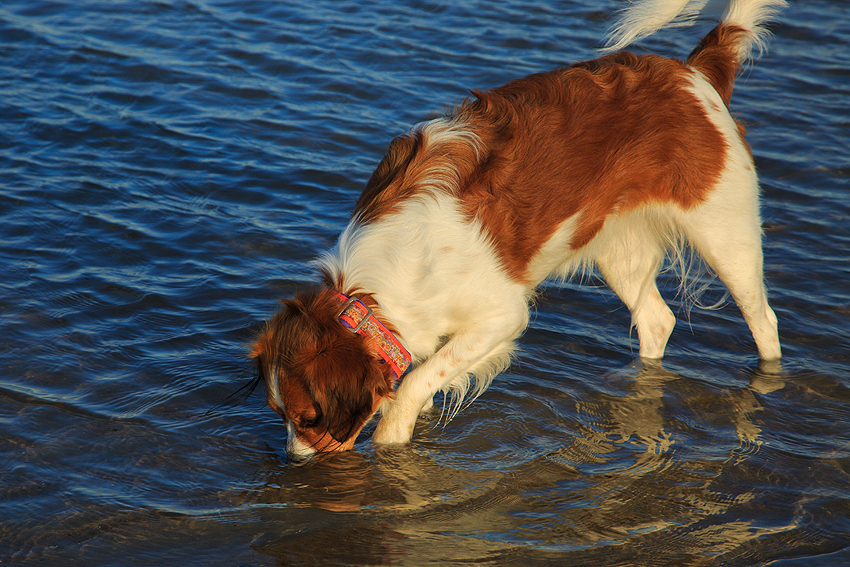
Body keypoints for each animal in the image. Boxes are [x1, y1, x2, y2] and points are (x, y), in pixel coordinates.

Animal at [250, 0, 780, 460]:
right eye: (280, 414)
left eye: (309, 418)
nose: (292, 461)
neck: (381, 282)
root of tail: (693, 73)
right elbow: (425, 379)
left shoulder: (501, 315)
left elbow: (415, 383)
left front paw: (392, 438)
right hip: (618, 251)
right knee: (658, 320)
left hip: (726, 234)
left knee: (763, 321)